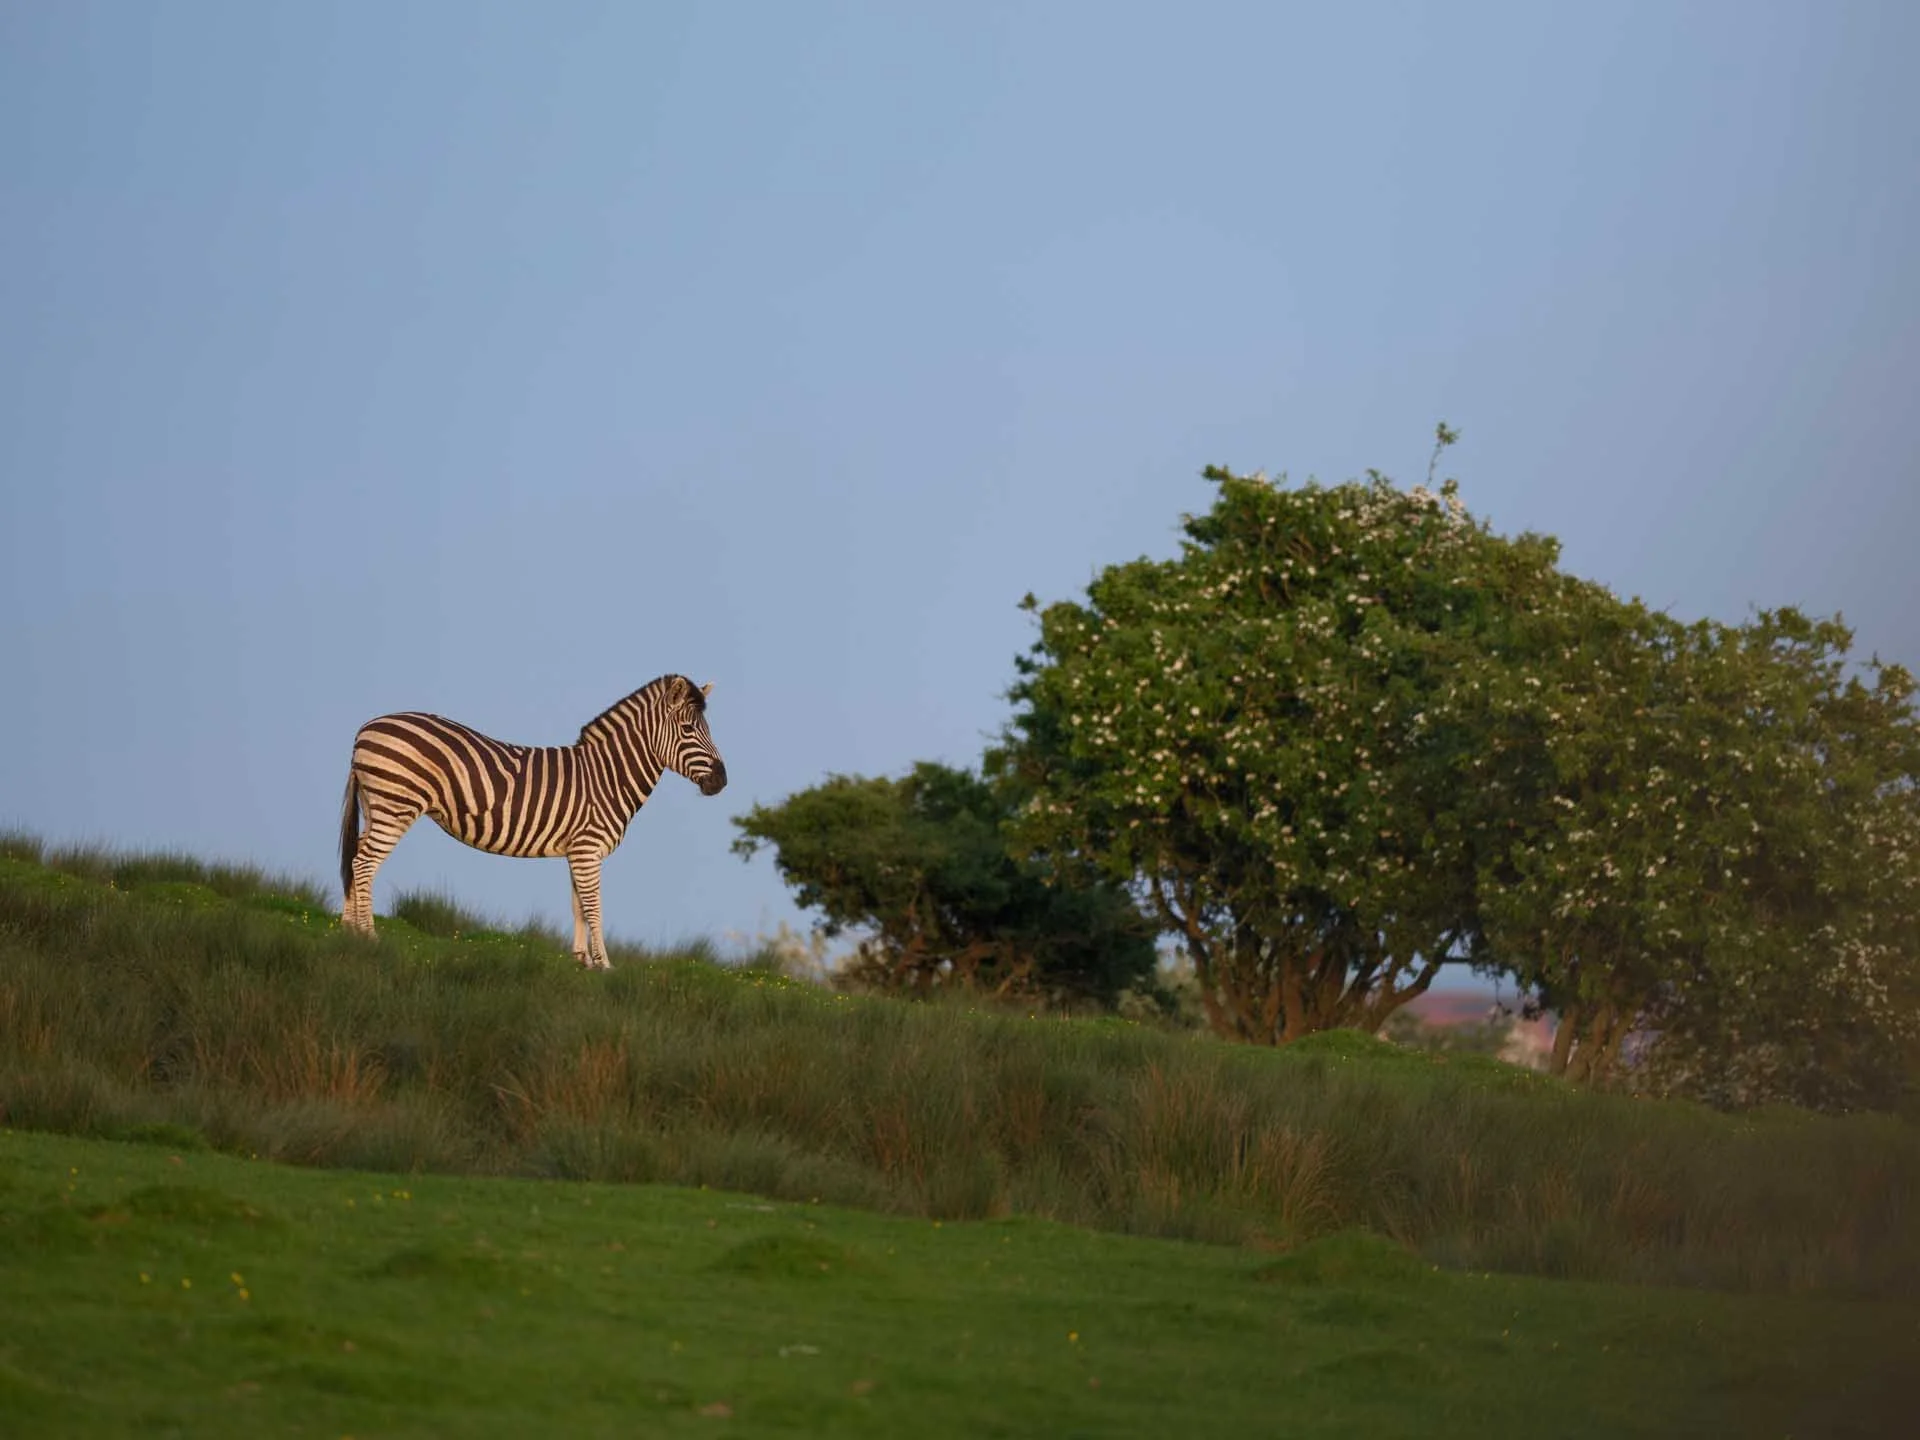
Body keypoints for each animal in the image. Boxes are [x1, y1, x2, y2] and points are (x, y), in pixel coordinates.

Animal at [338, 674, 728, 968]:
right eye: (689, 729)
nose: (722, 781)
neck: (607, 776)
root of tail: (366, 728)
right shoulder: (588, 847)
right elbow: (595, 905)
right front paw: (605, 965)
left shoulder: (577, 850)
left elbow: (578, 905)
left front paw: (582, 962)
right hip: (396, 804)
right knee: (365, 863)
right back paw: (370, 935)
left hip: (376, 805)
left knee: (355, 857)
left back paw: (347, 930)